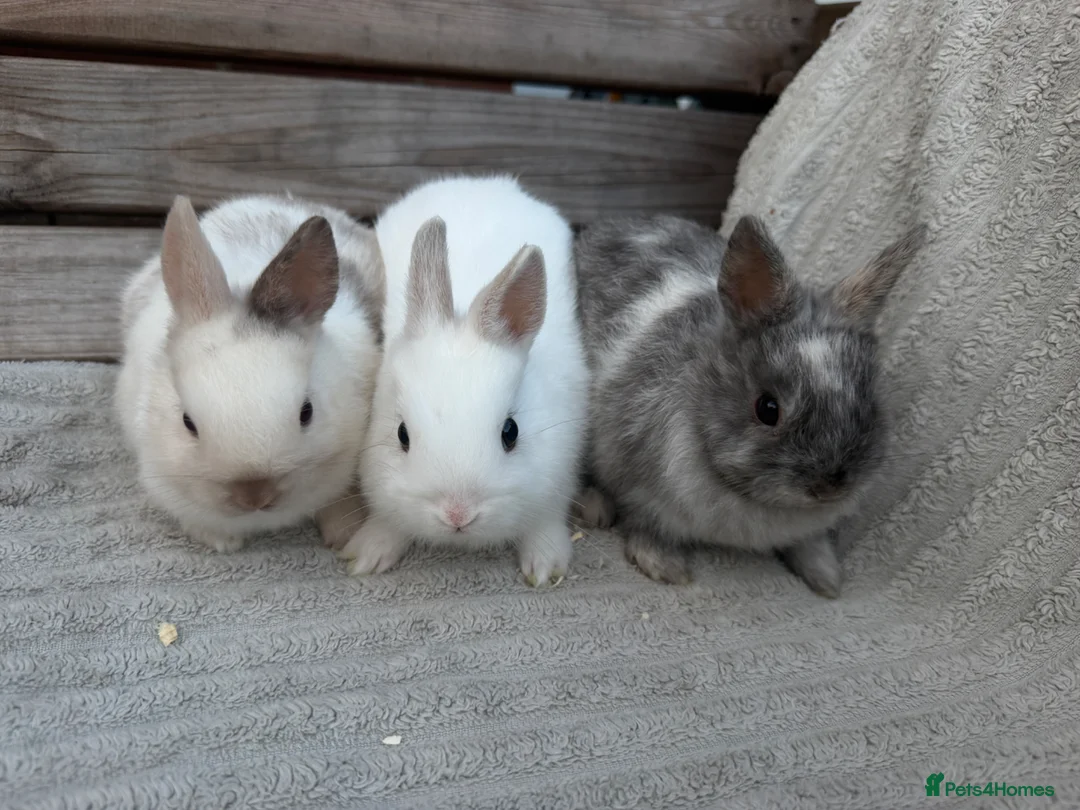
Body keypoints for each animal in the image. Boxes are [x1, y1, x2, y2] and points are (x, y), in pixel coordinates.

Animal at [339, 175, 589, 586]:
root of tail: (482, 181)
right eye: (402, 435)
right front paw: (368, 554)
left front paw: (544, 568)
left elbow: (545, 523)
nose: (458, 514)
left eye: (511, 432)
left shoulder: (558, 475)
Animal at [573, 214, 926, 597]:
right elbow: (647, 524)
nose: (829, 486)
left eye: (870, 403)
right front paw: (665, 567)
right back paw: (595, 509)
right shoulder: (637, 482)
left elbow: (809, 543)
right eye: (767, 409)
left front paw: (827, 579)